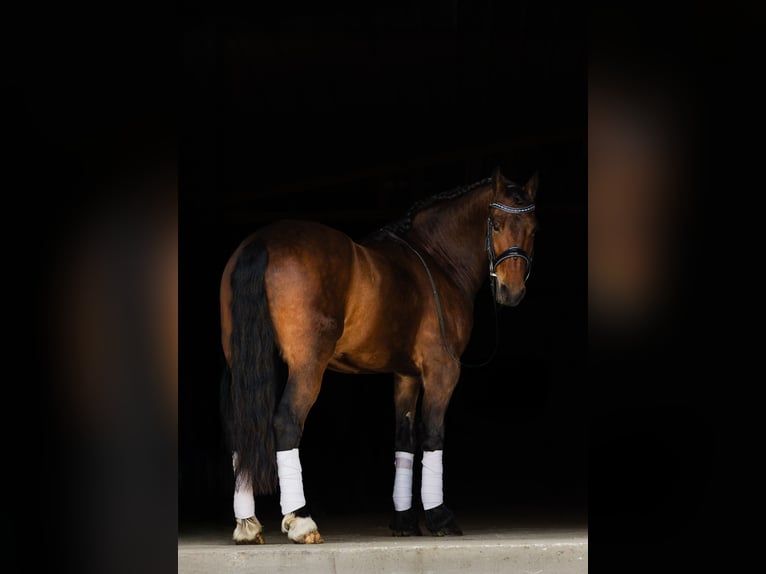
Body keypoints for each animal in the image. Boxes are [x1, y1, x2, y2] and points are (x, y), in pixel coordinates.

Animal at [219, 167, 538, 544]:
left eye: (533, 228)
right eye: (497, 224)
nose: (511, 291)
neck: (436, 260)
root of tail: (262, 243)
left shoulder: (406, 375)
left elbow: (404, 440)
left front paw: (404, 520)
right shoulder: (442, 370)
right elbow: (432, 434)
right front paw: (439, 517)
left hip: (242, 362)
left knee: (239, 428)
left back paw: (247, 524)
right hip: (307, 366)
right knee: (286, 421)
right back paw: (301, 520)